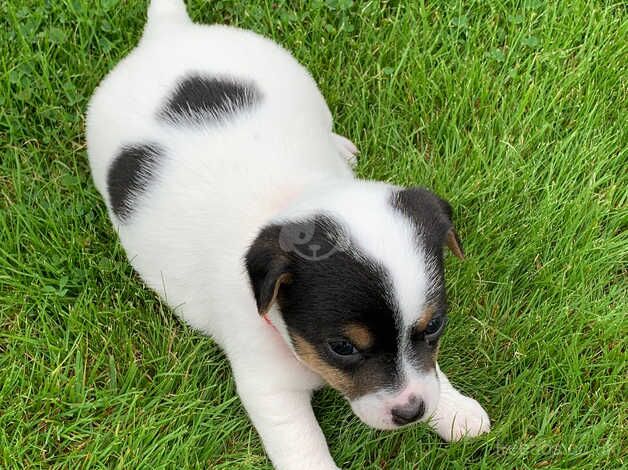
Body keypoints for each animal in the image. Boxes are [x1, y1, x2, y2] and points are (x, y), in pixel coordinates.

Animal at [87, 1, 490, 468]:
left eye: (435, 325)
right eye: (342, 347)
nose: (411, 412)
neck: (291, 198)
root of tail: (169, 34)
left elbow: (431, 370)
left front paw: (455, 411)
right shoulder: (271, 391)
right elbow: (304, 447)